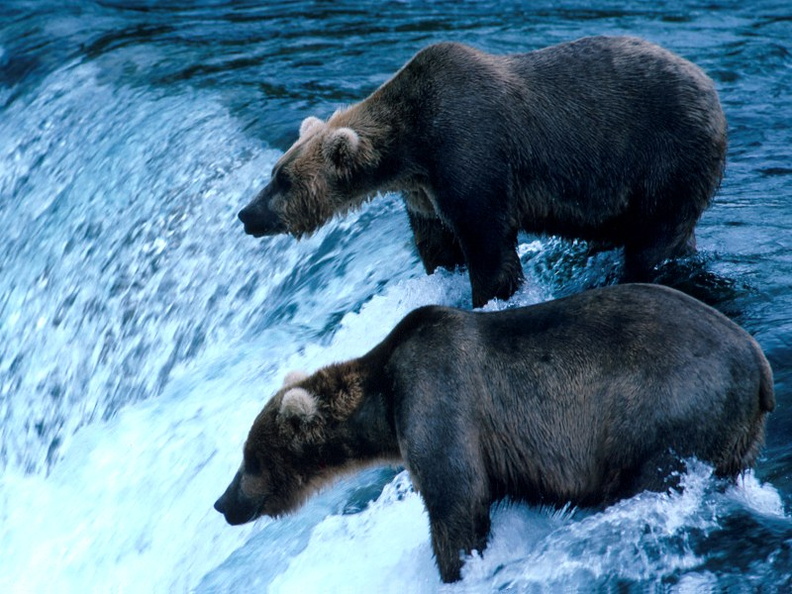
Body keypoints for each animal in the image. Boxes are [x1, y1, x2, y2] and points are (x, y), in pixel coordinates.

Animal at [214, 284, 773, 583]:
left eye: (249, 459)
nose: (222, 503)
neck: (384, 403)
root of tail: (760, 365)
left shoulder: (440, 401)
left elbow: (457, 502)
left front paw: (455, 569)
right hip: (733, 436)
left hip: (667, 413)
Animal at [237, 36, 727, 308]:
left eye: (283, 180)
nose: (245, 214)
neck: (410, 148)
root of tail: (709, 85)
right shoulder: (423, 192)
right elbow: (437, 246)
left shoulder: (469, 150)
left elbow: (487, 241)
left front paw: (491, 297)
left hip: (665, 155)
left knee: (654, 240)